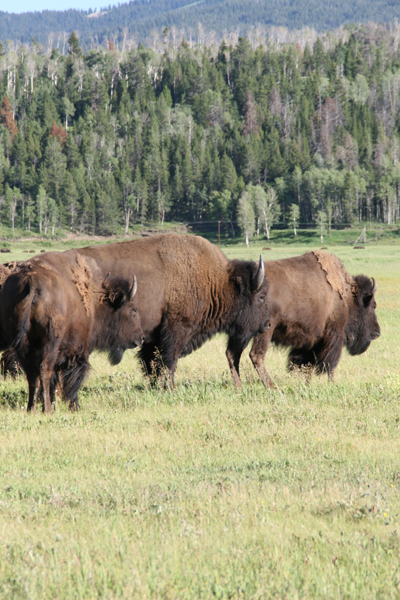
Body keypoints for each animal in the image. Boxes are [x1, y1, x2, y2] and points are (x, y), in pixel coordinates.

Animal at [0, 252, 144, 412]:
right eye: (133, 309)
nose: (141, 338)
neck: (94, 301)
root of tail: (32, 280)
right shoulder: (78, 351)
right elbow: (73, 379)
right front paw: (74, 406)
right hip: (50, 342)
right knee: (44, 370)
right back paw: (47, 410)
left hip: (22, 342)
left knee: (32, 374)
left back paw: (31, 408)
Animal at [239, 251, 380, 386]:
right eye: (373, 305)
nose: (377, 333)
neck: (347, 296)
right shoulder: (334, 334)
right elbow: (329, 363)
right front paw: (330, 382)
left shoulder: (308, 340)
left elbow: (306, 364)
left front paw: (307, 382)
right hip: (265, 329)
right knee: (256, 355)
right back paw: (269, 385)